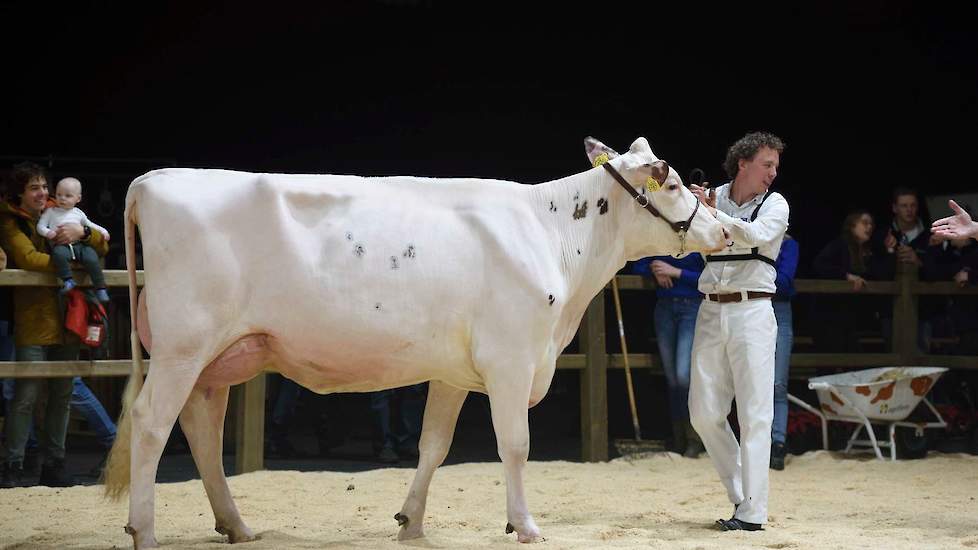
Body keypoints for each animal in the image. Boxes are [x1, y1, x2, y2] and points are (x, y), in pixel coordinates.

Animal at [103, 137, 724, 548]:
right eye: (672, 184)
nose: (720, 230)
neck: (550, 235)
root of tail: (153, 180)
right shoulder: (511, 359)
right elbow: (515, 446)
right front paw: (524, 525)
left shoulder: (453, 370)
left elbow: (434, 445)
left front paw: (412, 521)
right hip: (184, 346)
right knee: (152, 423)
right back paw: (145, 531)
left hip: (220, 356)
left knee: (202, 431)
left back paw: (236, 525)